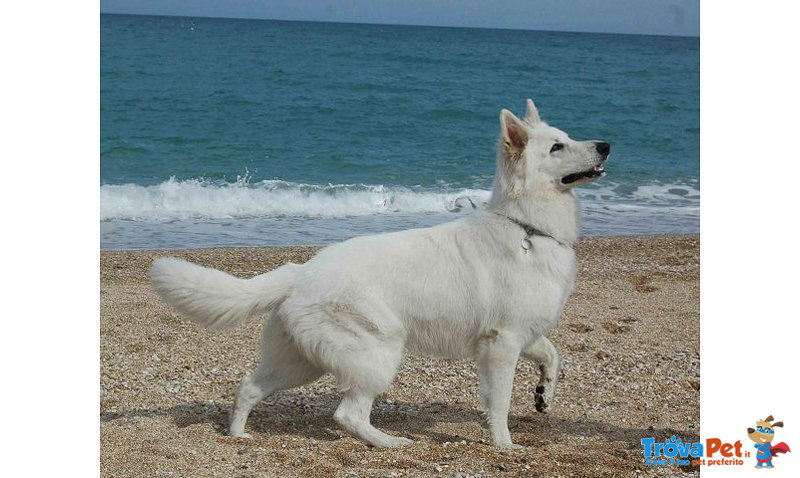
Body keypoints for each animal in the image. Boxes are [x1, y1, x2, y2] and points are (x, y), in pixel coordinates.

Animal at [153, 99, 608, 450]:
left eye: (567, 137)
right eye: (557, 146)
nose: (605, 144)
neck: (527, 226)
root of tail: (301, 273)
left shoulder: (524, 335)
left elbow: (553, 354)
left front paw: (544, 394)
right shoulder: (503, 344)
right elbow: (499, 402)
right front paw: (504, 444)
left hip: (300, 364)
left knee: (248, 386)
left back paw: (237, 434)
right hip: (380, 352)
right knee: (347, 414)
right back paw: (389, 442)